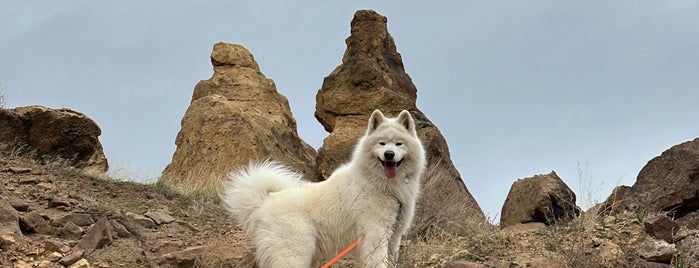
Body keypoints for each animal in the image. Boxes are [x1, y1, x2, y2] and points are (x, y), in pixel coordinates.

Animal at [223, 109, 426, 268]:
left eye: (399, 144)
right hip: (294, 253)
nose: (389, 154)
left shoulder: (394, 237)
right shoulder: (375, 233)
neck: (381, 184)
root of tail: (265, 202)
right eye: (381, 143)